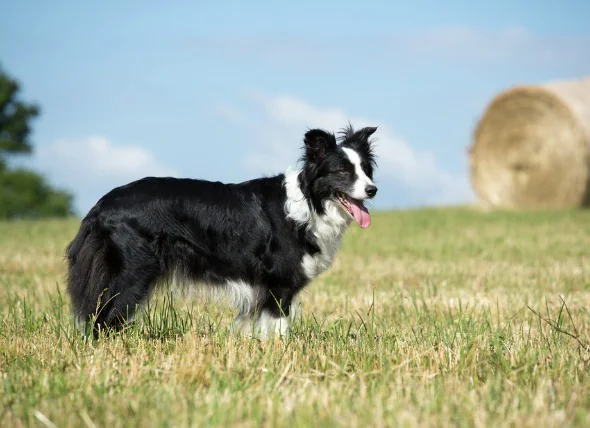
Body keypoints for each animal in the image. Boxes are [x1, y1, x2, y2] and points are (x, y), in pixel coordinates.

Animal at [65, 123, 380, 338]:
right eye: (342, 171)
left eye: (366, 170)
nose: (373, 190)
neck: (309, 201)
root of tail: (102, 205)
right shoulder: (279, 283)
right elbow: (279, 328)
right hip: (134, 271)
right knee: (104, 318)